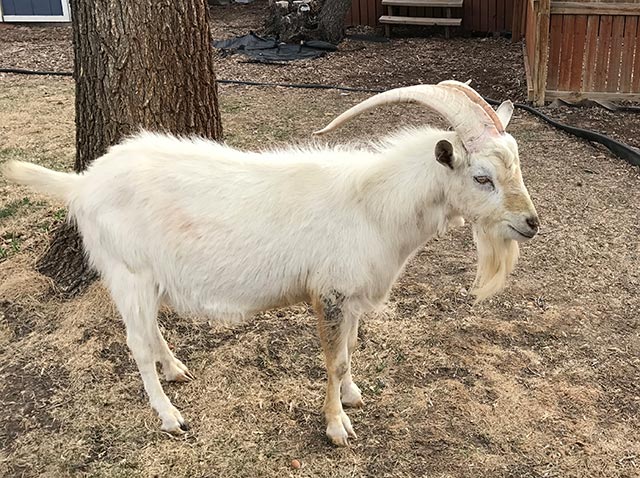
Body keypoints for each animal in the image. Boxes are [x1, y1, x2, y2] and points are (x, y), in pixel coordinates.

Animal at [2, 81, 539, 446]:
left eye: (517, 165)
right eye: (483, 176)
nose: (531, 223)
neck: (371, 204)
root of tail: (83, 183)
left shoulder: (350, 296)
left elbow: (350, 350)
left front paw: (352, 394)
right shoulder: (328, 293)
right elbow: (334, 356)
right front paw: (337, 427)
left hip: (148, 277)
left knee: (150, 330)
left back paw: (176, 369)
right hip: (126, 271)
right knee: (135, 342)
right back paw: (170, 415)